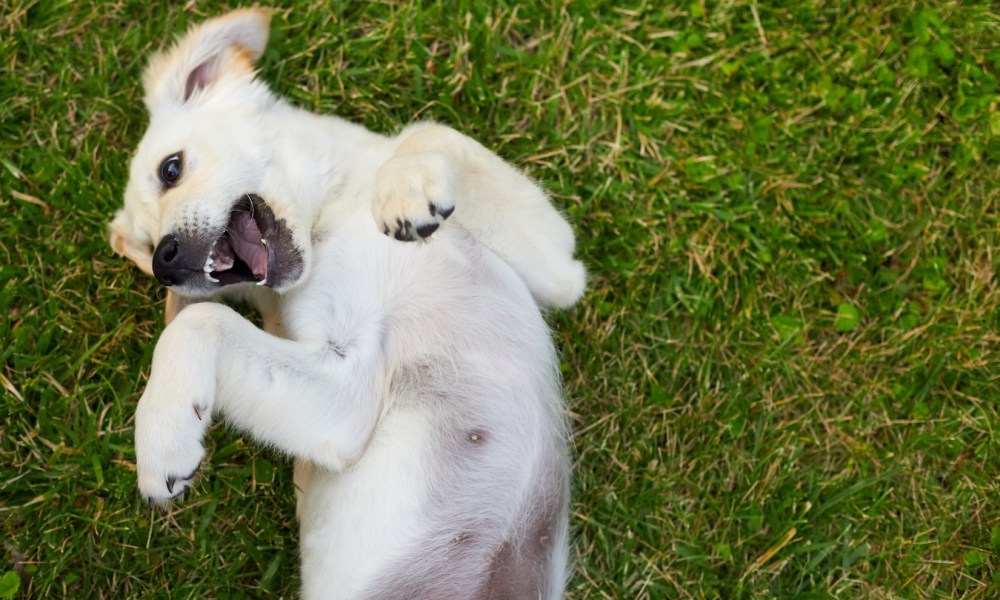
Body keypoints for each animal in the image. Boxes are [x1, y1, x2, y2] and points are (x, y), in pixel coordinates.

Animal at [109, 9, 584, 600]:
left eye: (170, 169)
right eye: (147, 245)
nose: (165, 264)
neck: (331, 212)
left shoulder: (561, 268)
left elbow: (427, 130)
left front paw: (404, 186)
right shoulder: (348, 397)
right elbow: (200, 319)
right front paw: (161, 438)